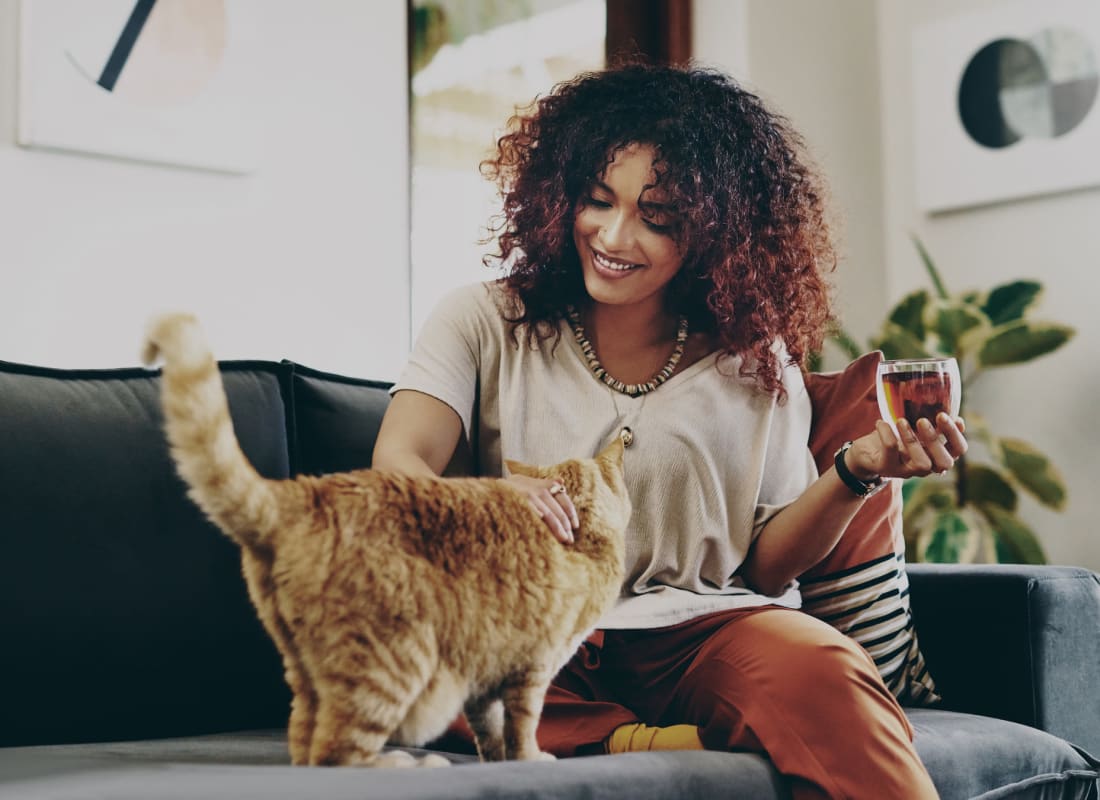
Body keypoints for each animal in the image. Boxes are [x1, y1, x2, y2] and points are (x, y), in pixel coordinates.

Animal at [141, 314, 633, 770]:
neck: (580, 538)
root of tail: (304, 492)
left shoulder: (484, 672)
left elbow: (491, 730)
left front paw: (498, 760)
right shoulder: (531, 667)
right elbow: (523, 725)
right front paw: (529, 760)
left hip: (307, 672)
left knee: (305, 747)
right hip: (394, 663)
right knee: (337, 755)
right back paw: (409, 763)